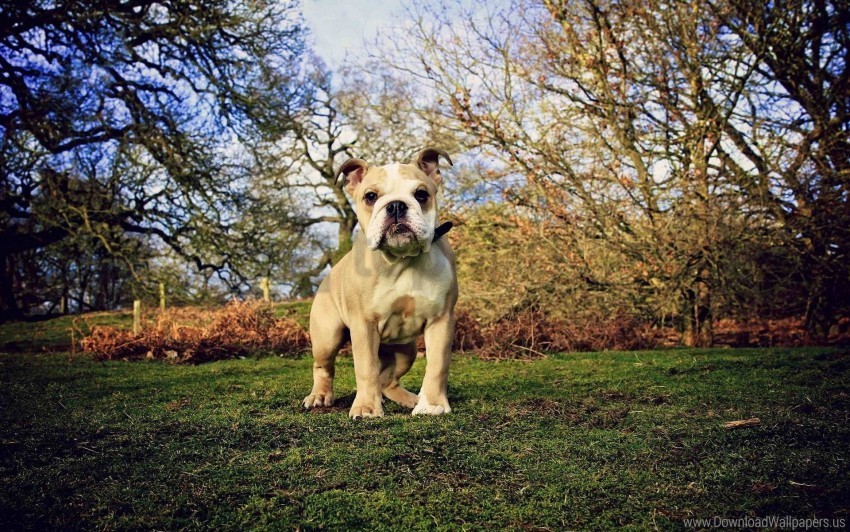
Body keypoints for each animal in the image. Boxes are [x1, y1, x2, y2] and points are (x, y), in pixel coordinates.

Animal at [302, 148, 454, 418]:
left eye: (421, 194)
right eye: (370, 197)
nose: (395, 205)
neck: (402, 259)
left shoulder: (441, 321)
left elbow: (437, 365)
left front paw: (432, 404)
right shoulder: (364, 326)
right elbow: (366, 368)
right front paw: (366, 408)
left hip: (406, 351)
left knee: (388, 379)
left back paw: (409, 399)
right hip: (327, 337)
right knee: (324, 366)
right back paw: (319, 395)